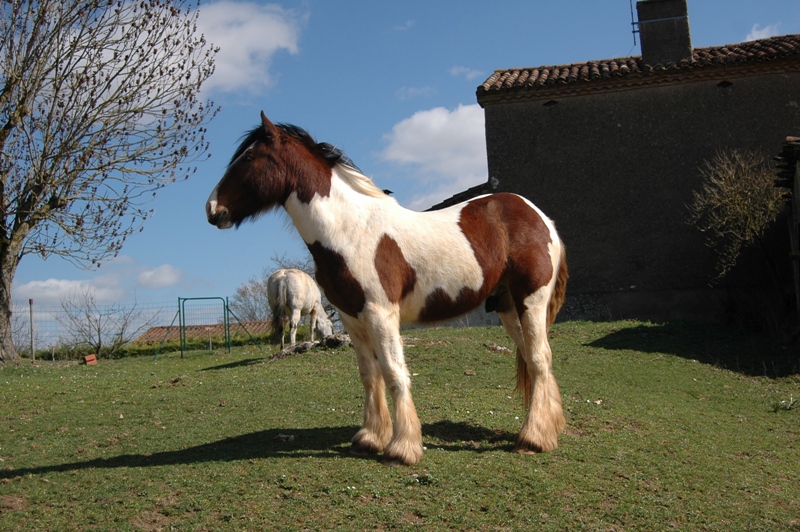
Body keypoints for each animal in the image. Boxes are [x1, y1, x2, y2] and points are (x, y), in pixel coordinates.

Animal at [206, 112, 568, 466]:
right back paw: (548, 428)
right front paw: (370, 438)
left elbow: (394, 373)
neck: (349, 231)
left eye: (248, 158)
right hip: (507, 307)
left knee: (539, 358)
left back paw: (532, 439)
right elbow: (370, 374)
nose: (212, 209)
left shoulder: (381, 315)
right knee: (536, 358)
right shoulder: (352, 318)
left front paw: (402, 448)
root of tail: (541, 218)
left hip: (531, 301)